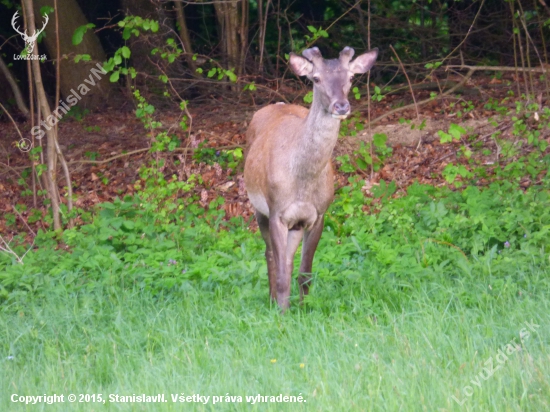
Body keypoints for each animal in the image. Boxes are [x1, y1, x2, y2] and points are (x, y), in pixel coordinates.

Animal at [246, 46, 380, 308]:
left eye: (350, 77)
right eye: (316, 79)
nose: (341, 106)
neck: (302, 182)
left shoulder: (318, 214)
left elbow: (305, 272)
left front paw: (303, 307)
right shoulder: (277, 211)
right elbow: (281, 273)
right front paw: (281, 311)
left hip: (296, 224)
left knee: (287, 260)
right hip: (258, 207)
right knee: (270, 254)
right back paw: (271, 300)